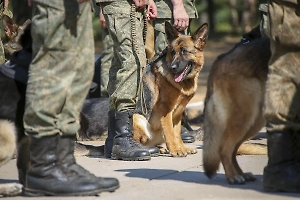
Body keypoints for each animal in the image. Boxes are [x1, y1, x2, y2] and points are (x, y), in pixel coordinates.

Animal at [134, 21, 209, 157]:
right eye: (173, 52)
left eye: (184, 51)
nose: (173, 67)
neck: (185, 82)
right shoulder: (165, 109)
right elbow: (169, 132)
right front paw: (175, 150)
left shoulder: (178, 112)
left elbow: (177, 133)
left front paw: (182, 148)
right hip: (138, 118)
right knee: (141, 141)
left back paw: (160, 148)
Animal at [203, 27, 270, 184]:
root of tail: (220, 59)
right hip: (245, 117)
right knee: (224, 148)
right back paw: (232, 177)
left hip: (254, 121)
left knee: (233, 150)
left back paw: (241, 174)